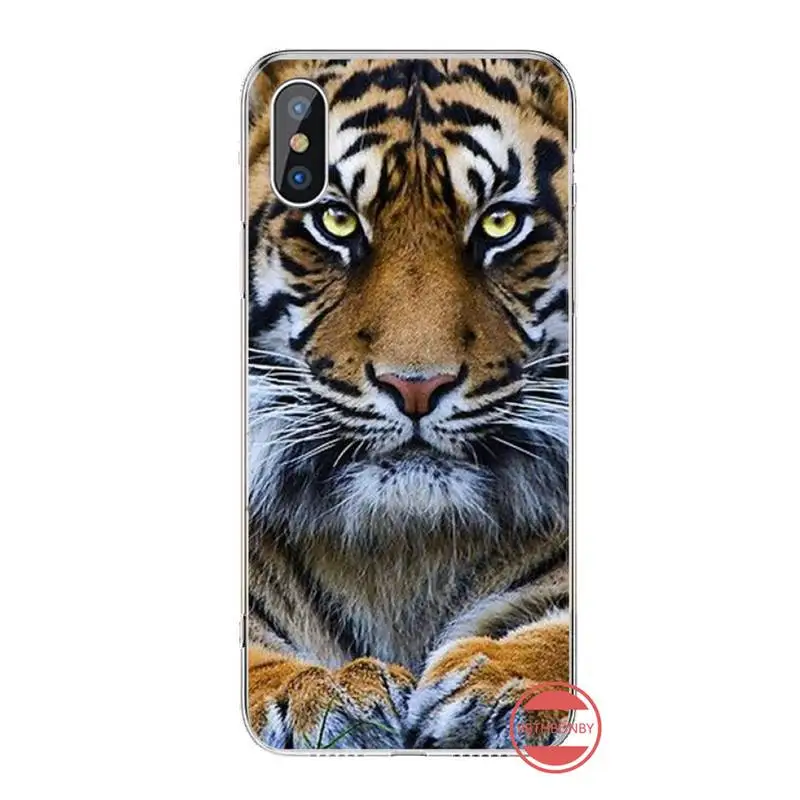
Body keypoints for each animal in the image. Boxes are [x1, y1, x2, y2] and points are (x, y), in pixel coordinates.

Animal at [245, 56, 572, 750]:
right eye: (336, 221)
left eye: (499, 224)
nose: (416, 385)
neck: (403, 550)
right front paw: (324, 691)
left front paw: (503, 679)